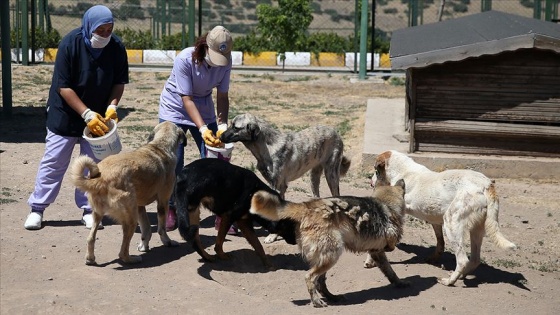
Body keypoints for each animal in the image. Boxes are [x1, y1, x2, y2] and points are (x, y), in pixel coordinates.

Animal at [70, 122, 186, 266]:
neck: (160, 145)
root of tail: (101, 179)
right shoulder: (163, 202)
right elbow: (161, 229)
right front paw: (168, 242)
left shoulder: (140, 206)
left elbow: (146, 229)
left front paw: (144, 246)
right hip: (130, 219)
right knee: (122, 252)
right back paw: (132, 259)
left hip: (99, 214)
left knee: (90, 238)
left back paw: (90, 259)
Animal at [219, 113, 350, 244]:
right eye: (231, 124)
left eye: (235, 127)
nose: (220, 137)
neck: (267, 146)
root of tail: (335, 132)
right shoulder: (280, 187)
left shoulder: (276, 187)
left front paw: (272, 236)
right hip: (314, 177)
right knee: (317, 196)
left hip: (331, 174)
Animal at [252, 180, 410, 308]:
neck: (385, 204)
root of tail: (306, 206)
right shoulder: (386, 243)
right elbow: (390, 255)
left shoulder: (376, 252)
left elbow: (390, 271)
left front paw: (398, 283)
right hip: (331, 256)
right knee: (309, 278)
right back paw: (316, 302)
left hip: (325, 259)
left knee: (320, 283)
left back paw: (332, 297)